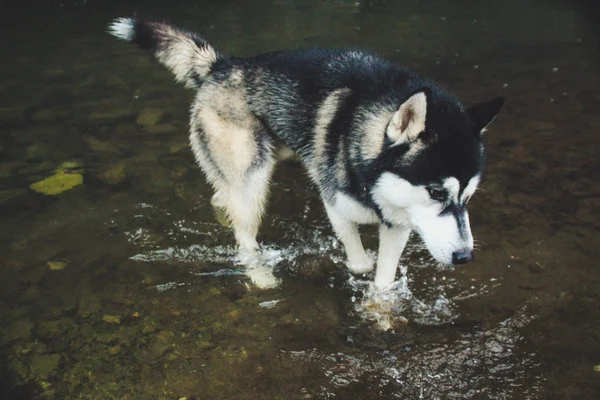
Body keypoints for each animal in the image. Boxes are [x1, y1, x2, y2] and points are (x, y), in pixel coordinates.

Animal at [109, 17, 506, 290]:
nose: (465, 257)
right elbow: (360, 262)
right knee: (244, 237)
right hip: (253, 177)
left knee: (223, 198)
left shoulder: (399, 220)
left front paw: (381, 314)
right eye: (437, 192)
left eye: (469, 196)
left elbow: (383, 279)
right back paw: (261, 277)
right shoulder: (336, 205)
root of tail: (225, 64)